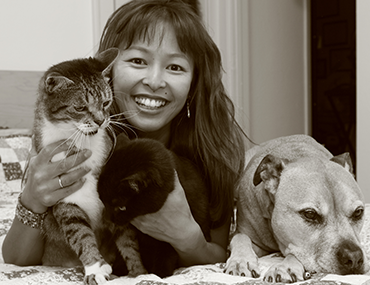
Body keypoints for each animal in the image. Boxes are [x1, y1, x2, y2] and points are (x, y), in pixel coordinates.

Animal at [32, 47, 118, 282]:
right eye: (80, 107)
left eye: (106, 103)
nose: (100, 121)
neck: (79, 140)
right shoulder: (65, 198)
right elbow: (80, 233)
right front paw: (95, 268)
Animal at [224, 135, 368, 282]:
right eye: (310, 214)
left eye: (358, 212)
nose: (354, 258)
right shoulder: (250, 237)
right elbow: (240, 237)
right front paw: (240, 261)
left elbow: (295, 254)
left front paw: (285, 267)